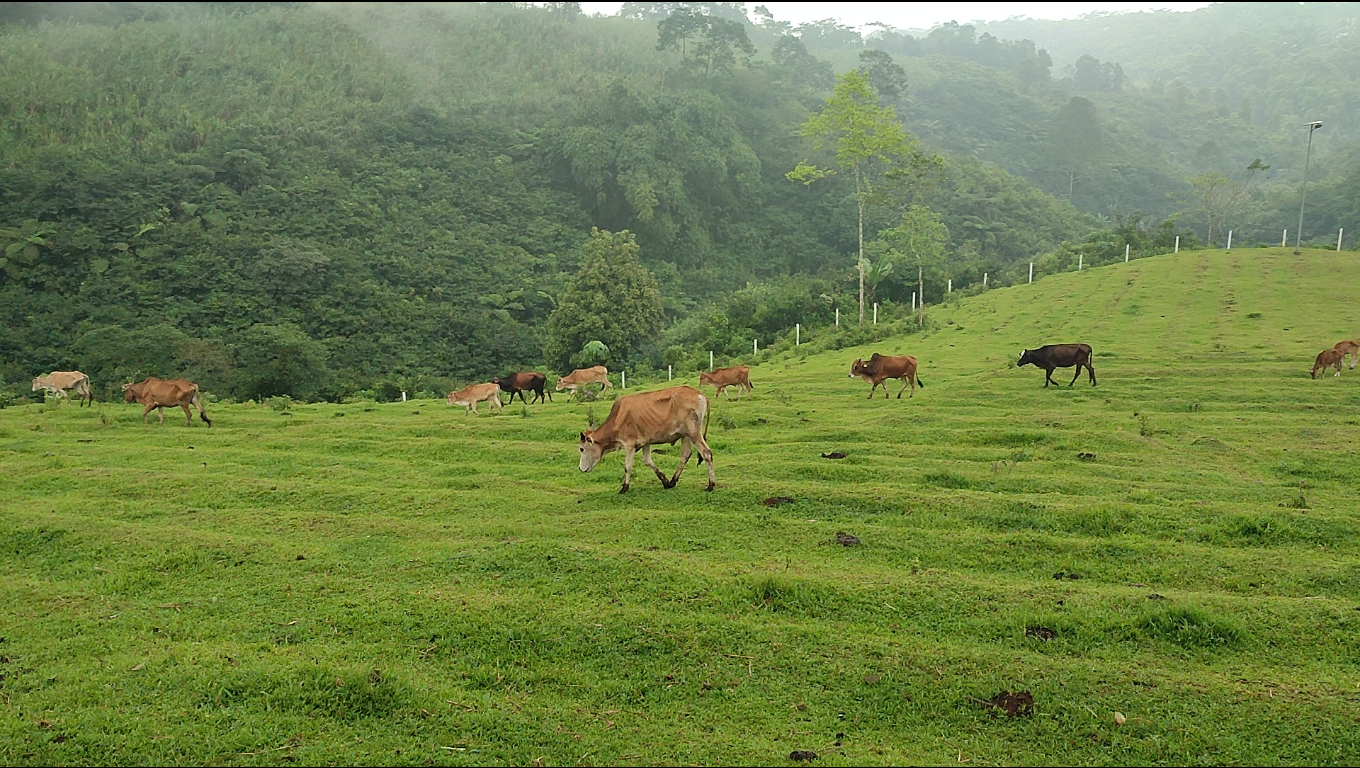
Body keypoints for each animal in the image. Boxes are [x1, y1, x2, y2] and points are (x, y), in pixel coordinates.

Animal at [576, 386, 718, 494]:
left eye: (581, 449)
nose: (580, 468)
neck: (617, 417)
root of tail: (700, 394)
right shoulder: (646, 442)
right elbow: (647, 461)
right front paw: (665, 481)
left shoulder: (629, 444)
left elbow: (628, 466)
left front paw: (624, 488)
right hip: (685, 435)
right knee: (685, 455)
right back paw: (672, 481)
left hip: (694, 433)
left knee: (706, 453)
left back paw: (710, 485)